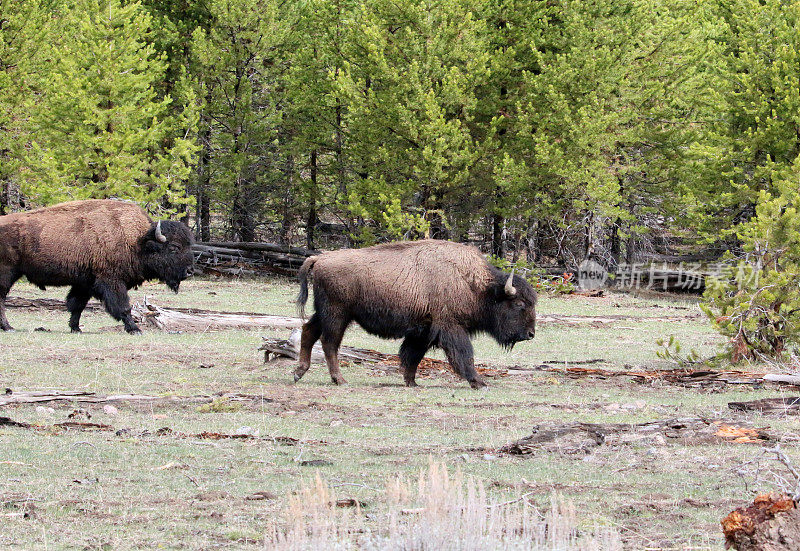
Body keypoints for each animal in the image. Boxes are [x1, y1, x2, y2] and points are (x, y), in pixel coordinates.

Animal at [0, 201, 194, 334]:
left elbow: (76, 305)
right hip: (7, 274)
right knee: (1, 300)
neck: (137, 241)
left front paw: (75, 328)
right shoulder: (112, 281)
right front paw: (135, 329)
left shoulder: (85, 283)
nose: (190, 271)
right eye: (174, 247)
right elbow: (123, 306)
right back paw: (8, 327)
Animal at [294, 240, 536, 388]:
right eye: (519, 304)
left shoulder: (424, 330)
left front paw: (411, 382)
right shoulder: (450, 327)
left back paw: (299, 372)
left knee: (308, 331)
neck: (478, 285)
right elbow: (464, 355)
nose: (531, 334)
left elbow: (413, 356)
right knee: (329, 343)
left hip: (324, 313)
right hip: (337, 314)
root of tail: (319, 259)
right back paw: (339, 379)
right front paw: (479, 382)